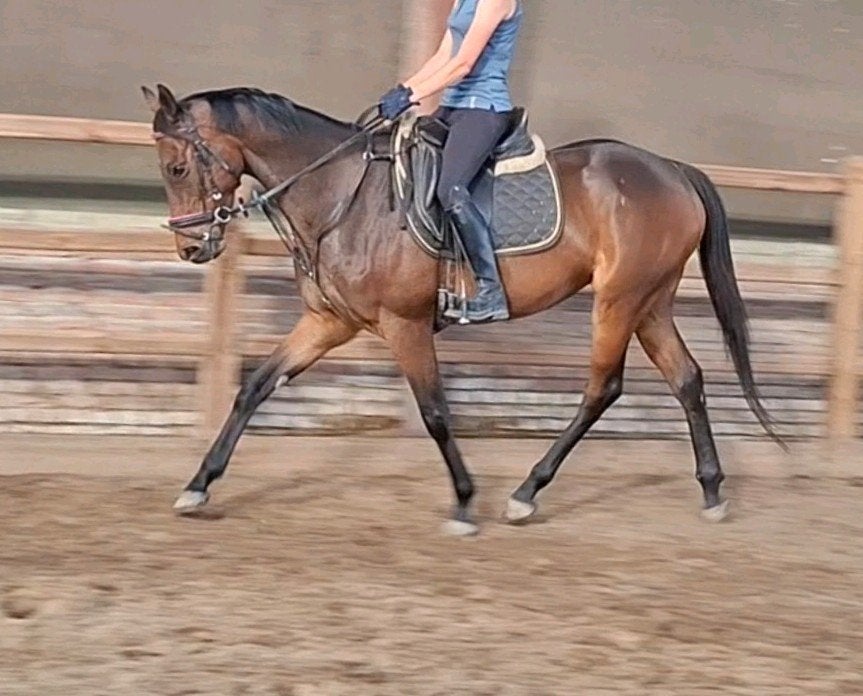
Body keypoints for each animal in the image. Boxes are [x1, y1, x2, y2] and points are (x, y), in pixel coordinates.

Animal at [142, 83, 781, 535]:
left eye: (176, 167)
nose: (191, 248)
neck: (340, 194)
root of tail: (673, 170)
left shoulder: (404, 326)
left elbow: (435, 414)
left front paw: (465, 502)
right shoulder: (330, 322)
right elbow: (254, 387)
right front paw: (198, 486)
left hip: (619, 300)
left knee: (604, 387)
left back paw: (525, 495)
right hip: (650, 301)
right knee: (687, 378)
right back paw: (712, 491)